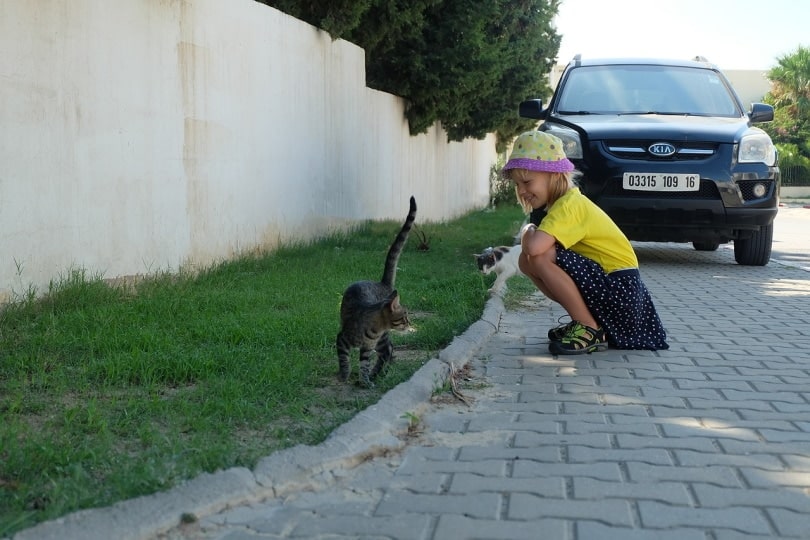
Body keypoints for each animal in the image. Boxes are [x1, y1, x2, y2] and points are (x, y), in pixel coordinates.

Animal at [332, 196, 414, 386]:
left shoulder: (367, 348)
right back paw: (379, 373)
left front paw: (365, 381)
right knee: (389, 351)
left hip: (383, 341)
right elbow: (344, 360)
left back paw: (378, 374)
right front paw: (344, 376)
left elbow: (364, 365)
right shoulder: (342, 338)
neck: (374, 330)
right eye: (404, 316)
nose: (409, 324)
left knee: (389, 350)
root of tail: (382, 283)